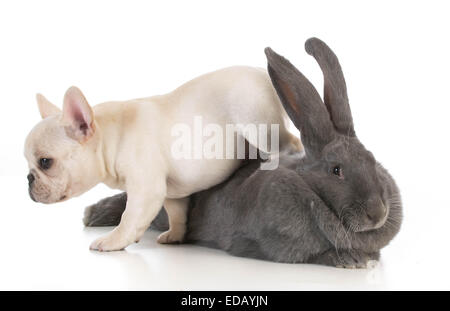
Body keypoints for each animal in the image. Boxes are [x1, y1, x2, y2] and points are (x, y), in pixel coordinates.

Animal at [22, 67, 300, 252]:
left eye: (45, 162)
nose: (28, 179)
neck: (111, 136)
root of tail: (262, 74)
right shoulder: (171, 191)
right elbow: (176, 212)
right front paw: (176, 235)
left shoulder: (146, 190)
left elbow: (129, 217)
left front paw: (113, 241)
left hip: (257, 122)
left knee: (290, 142)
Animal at [82, 38, 402, 268]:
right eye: (336, 170)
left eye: (372, 160)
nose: (378, 213)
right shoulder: (268, 244)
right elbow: (316, 255)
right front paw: (351, 260)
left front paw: (368, 258)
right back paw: (93, 216)